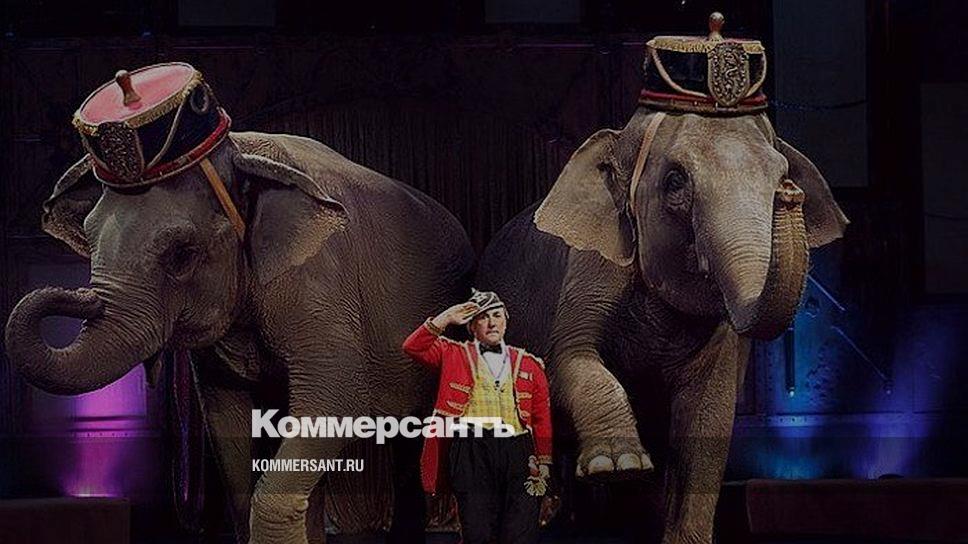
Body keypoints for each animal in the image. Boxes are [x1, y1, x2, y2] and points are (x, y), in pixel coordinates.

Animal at [5, 132, 476, 543]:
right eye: (89, 237)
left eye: (181, 254)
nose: (81, 295)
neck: (240, 155)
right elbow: (226, 422)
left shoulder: (320, 282)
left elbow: (336, 399)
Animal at [476, 108, 848, 542]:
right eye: (675, 181)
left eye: (783, 174)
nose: (790, 194)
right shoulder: (589, 266)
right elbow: (565, 360)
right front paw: (618, 465)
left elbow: (710, 409)